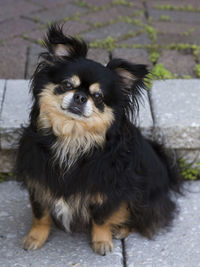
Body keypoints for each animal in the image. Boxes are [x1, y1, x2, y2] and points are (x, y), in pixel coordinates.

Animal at [16, 24, 180, 255]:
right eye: (67, 84)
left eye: (98, 96)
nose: (80, 97)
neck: (73, 138)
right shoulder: (38, 181)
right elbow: (40, 215)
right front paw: (35, 238)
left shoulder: (110, 189)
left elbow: (102, 218)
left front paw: (102, 241)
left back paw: (120, 229)